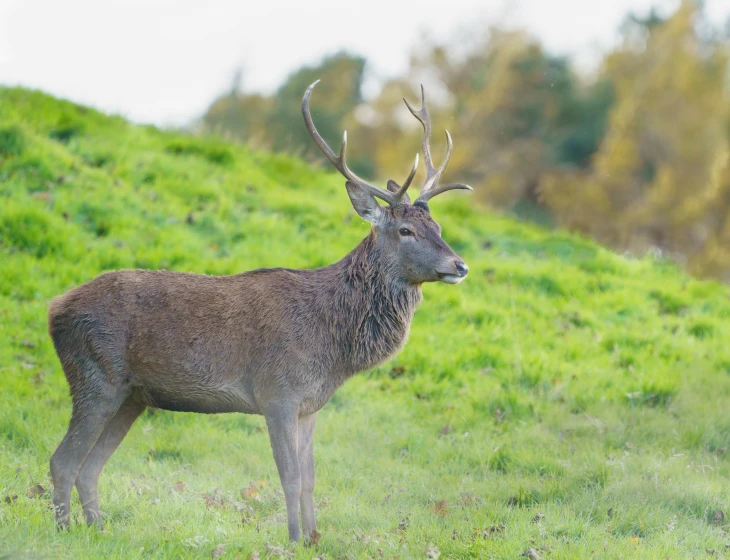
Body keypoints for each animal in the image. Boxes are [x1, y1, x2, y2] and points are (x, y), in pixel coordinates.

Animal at [49, 81, 472, 540]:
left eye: (439, 228)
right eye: (405, 230)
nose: (459, 265)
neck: (334, 349)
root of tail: (54, 309)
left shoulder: (310, 405)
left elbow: (310, 478)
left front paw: (314, 539)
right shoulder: (277, 393)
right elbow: (289, 477)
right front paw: (292, 539)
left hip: (132, 396)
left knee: (90, 466)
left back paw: (98, 530)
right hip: (96, 376)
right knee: (63, 460)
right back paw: (65, 531)